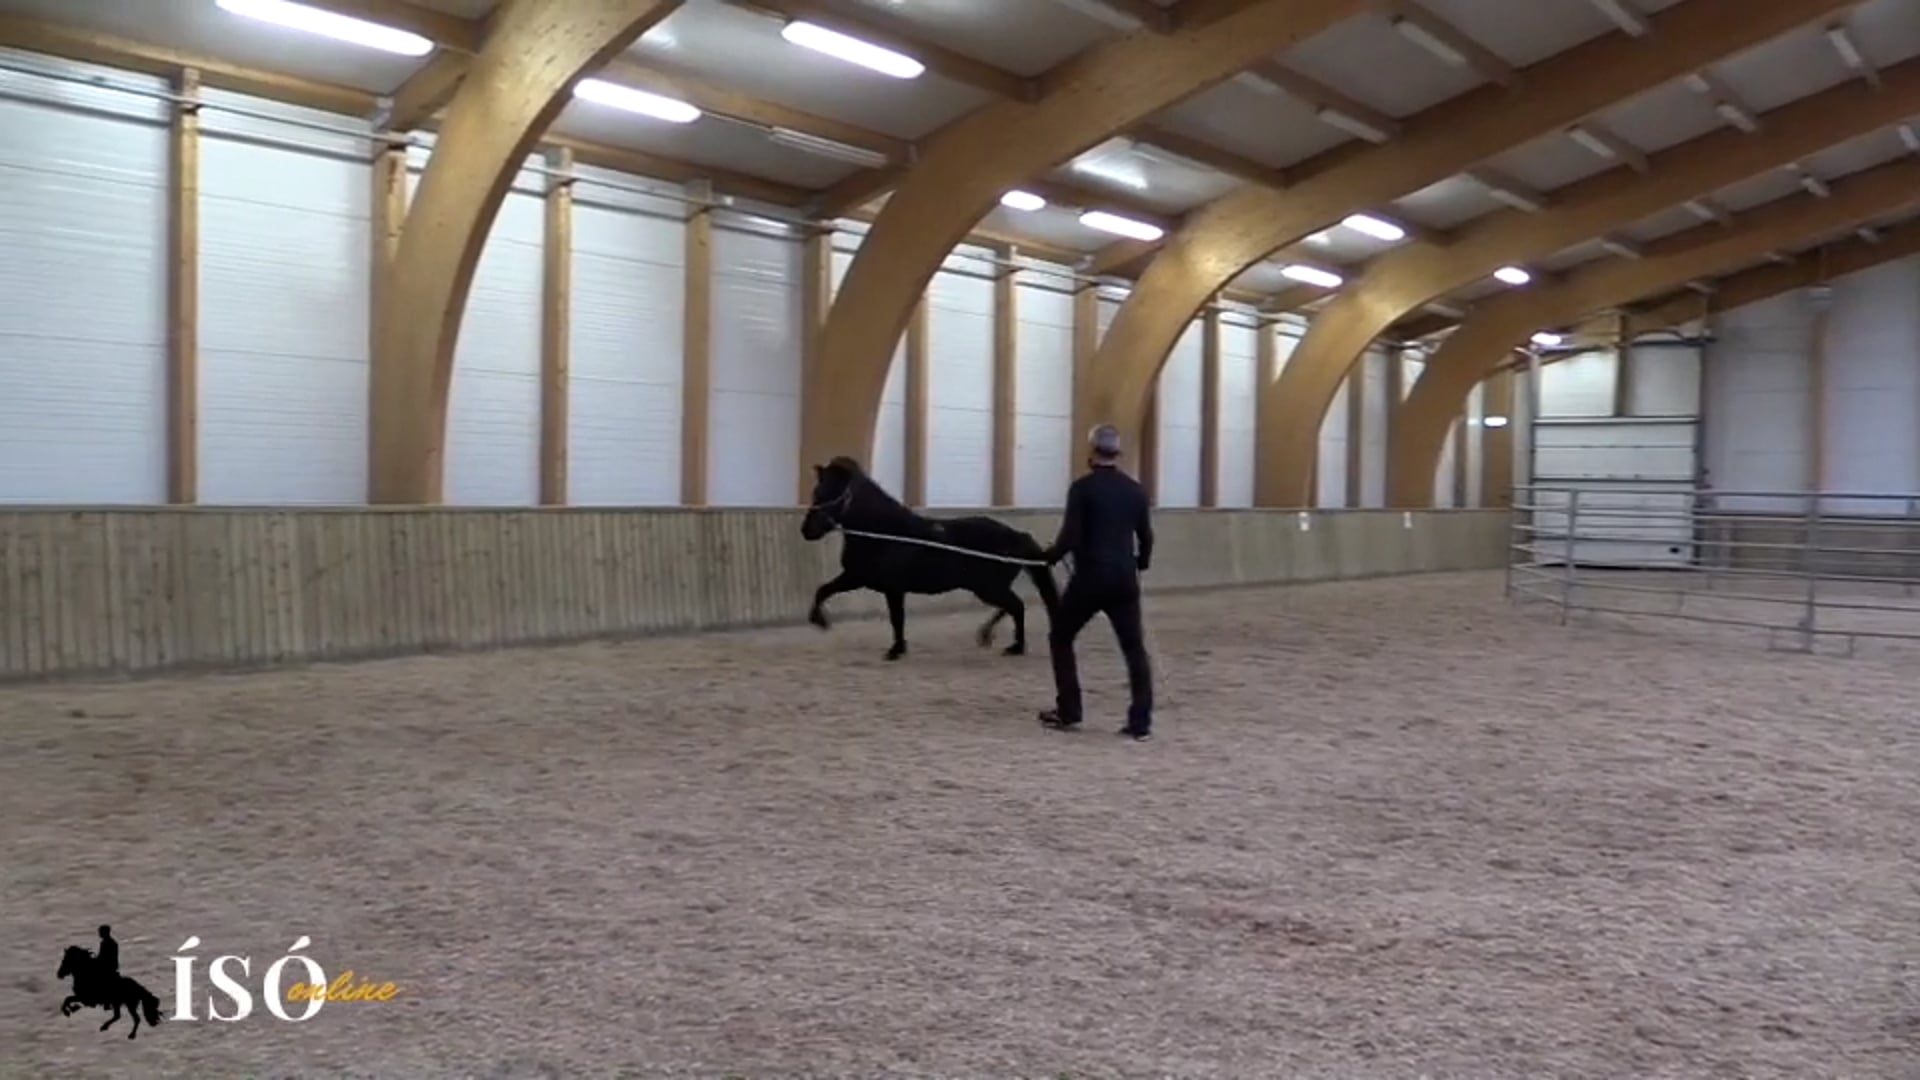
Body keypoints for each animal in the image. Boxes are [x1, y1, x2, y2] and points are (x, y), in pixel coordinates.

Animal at [798, 451, 1067, 657]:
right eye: (816, 493)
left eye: (828, 494)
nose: (806, 531)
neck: (884, 533)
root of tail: (1016, 535)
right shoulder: (857, 577)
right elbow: (824, 590)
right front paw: (820, 620)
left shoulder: (884, 585)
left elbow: (896, 618)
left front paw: (895, 650)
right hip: (989, 587)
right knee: (1013, 607)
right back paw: (991, 637)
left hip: (989, 587)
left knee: (1017, 607)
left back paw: (1013, 646)